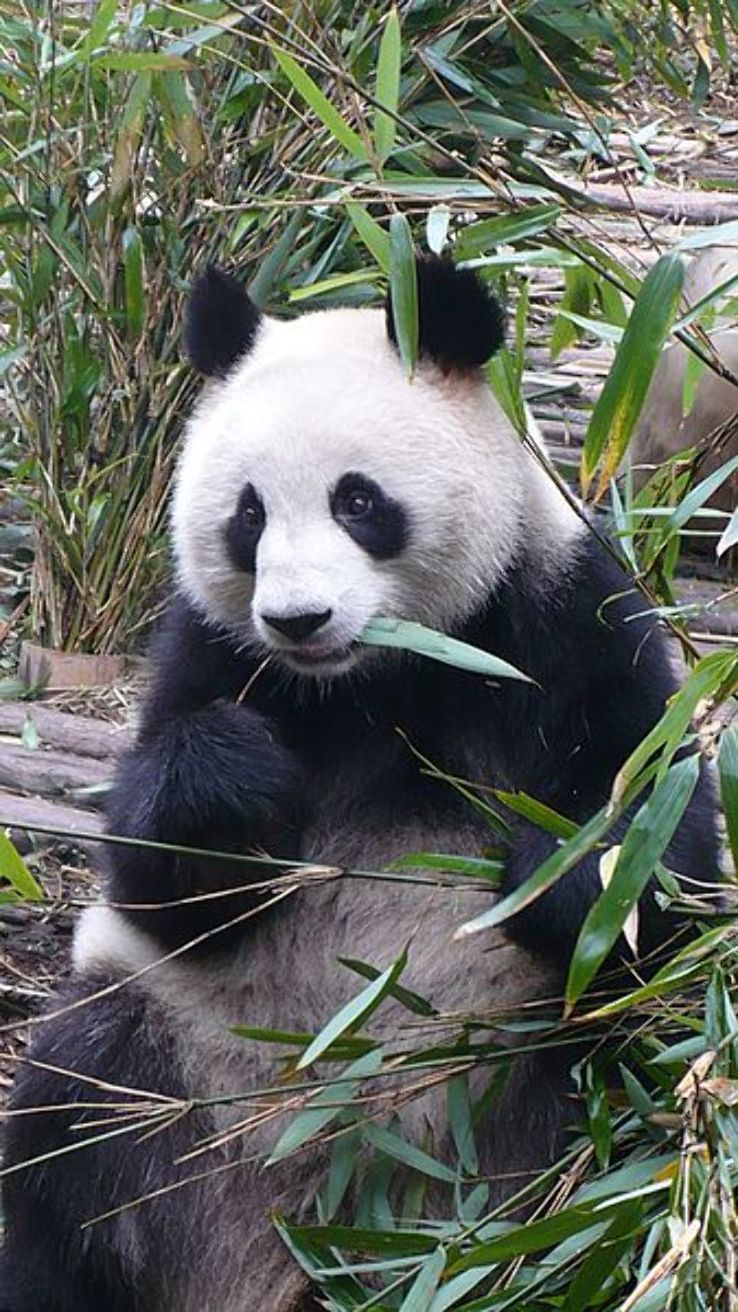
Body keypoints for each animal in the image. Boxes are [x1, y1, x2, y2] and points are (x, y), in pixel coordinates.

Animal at [1, 256, 720, 1312]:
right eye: (248, 514)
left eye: (360, 503)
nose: (298, 619)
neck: (374, 676)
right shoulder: (209, 651)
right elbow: (161, 874)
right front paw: (230, 781)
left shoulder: (561, 613)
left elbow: (655, 835)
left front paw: (556, 871)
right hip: (169, 1050)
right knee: (72, 1133)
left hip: (543, 1085)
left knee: (618, 1118)